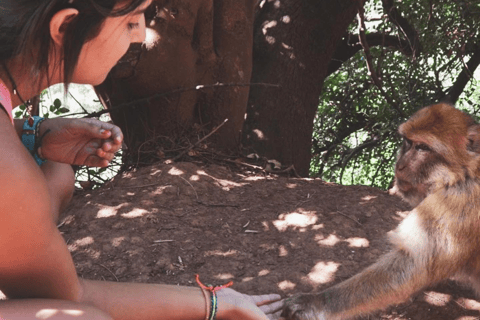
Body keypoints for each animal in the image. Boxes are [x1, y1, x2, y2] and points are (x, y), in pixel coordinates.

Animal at [282, 103, 480, 320]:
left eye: (422, 148)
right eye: (408, 142)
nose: (400, 165)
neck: (462, 174)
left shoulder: (455, 202)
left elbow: (412, 265)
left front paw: (316, 302)